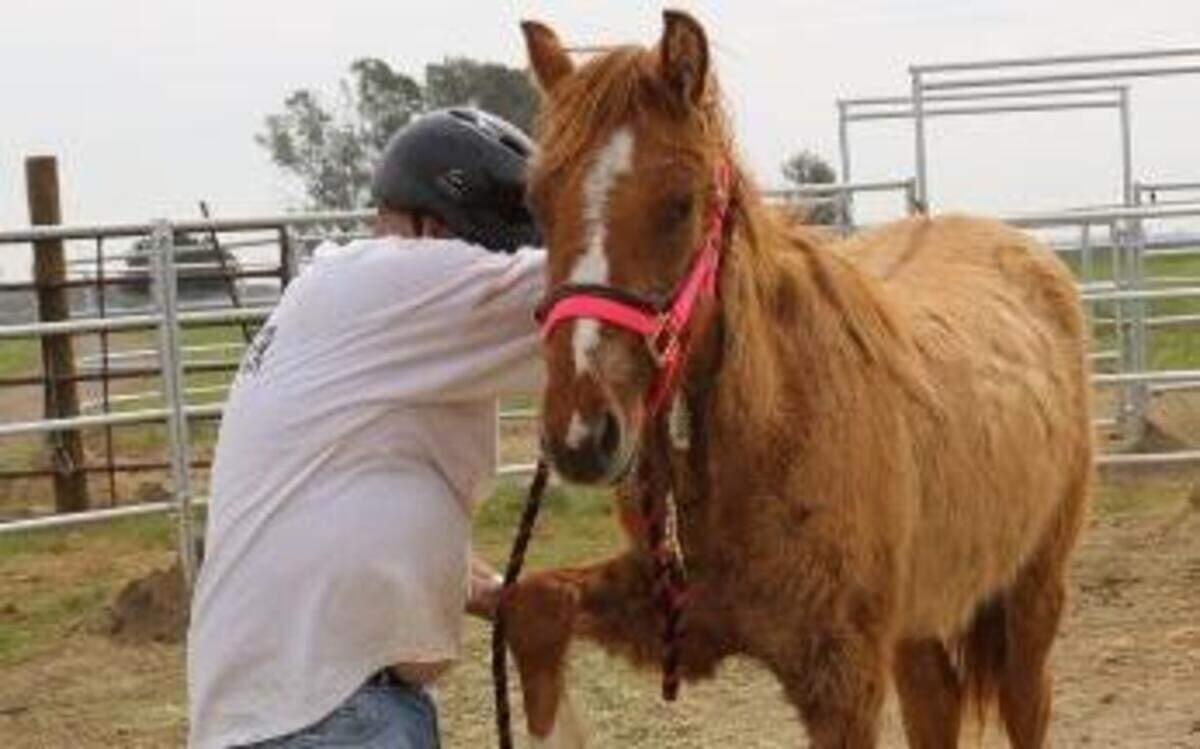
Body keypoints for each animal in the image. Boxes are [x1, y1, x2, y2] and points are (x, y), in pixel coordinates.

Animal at [501, 11, 1093, 748]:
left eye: (680, 203)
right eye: (536, 203)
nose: (582, 434)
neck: (773, 423)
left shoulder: (843, 682)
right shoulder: (676, 618)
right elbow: (530, 604)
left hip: (1032, 592)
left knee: (1025, 702)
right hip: (919, 620)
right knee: (936, 704)